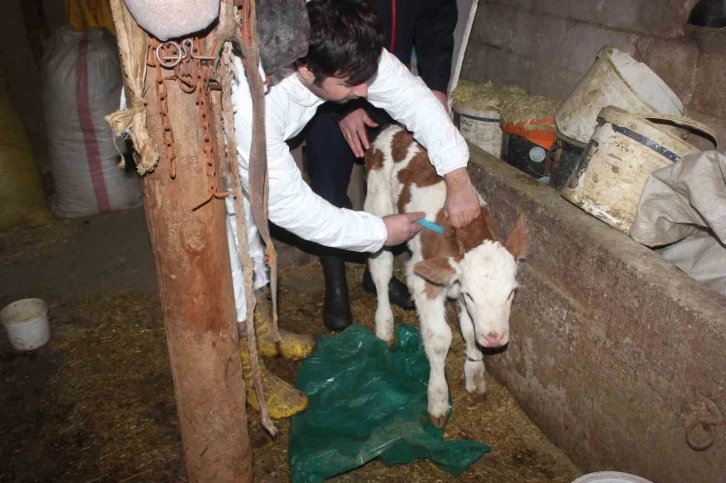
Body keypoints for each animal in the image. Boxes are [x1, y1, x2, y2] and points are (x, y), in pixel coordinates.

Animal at [364, 124, 528, 428]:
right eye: (472, 294)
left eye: (511, 292)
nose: (495, 339)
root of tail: (394, 129)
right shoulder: (424, 281)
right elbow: (440, 339)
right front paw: (438, 400)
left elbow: (470, 331)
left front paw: (475, 376)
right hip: (378, 207)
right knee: (380, 268)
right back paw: (384, 327)